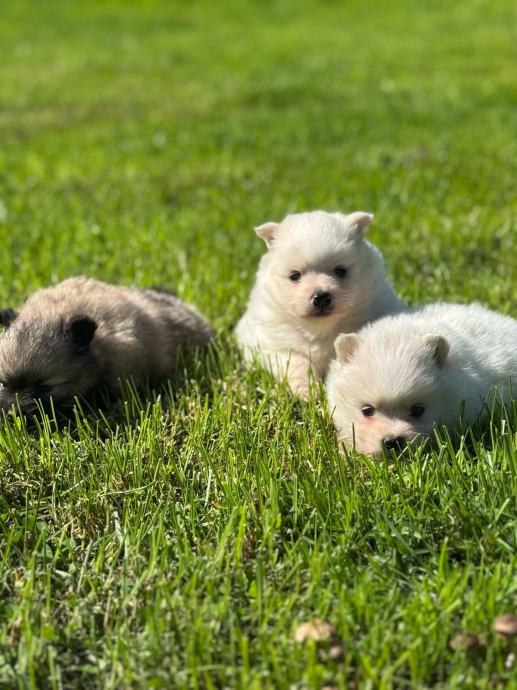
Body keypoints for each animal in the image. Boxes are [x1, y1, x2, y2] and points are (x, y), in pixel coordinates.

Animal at [236, 210, 405, 396]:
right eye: (295, 276)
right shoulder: (278, 345)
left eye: (340, 271)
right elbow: (297, 364)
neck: (321, 328)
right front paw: (307, 392)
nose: (321, 297)